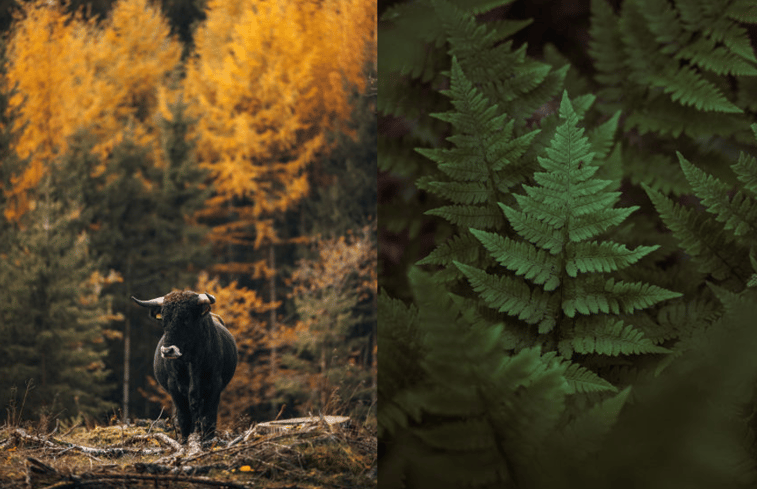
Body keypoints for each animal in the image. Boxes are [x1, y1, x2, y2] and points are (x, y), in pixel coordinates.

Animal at [131, 288, 236, 440]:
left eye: (186, 318)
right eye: (164, 320)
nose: (168, 350)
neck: (191, 362)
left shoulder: (215, 385)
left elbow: (209, 417)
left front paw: (208, 440)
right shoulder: (175, 388)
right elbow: (184, 417)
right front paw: (185, 440)